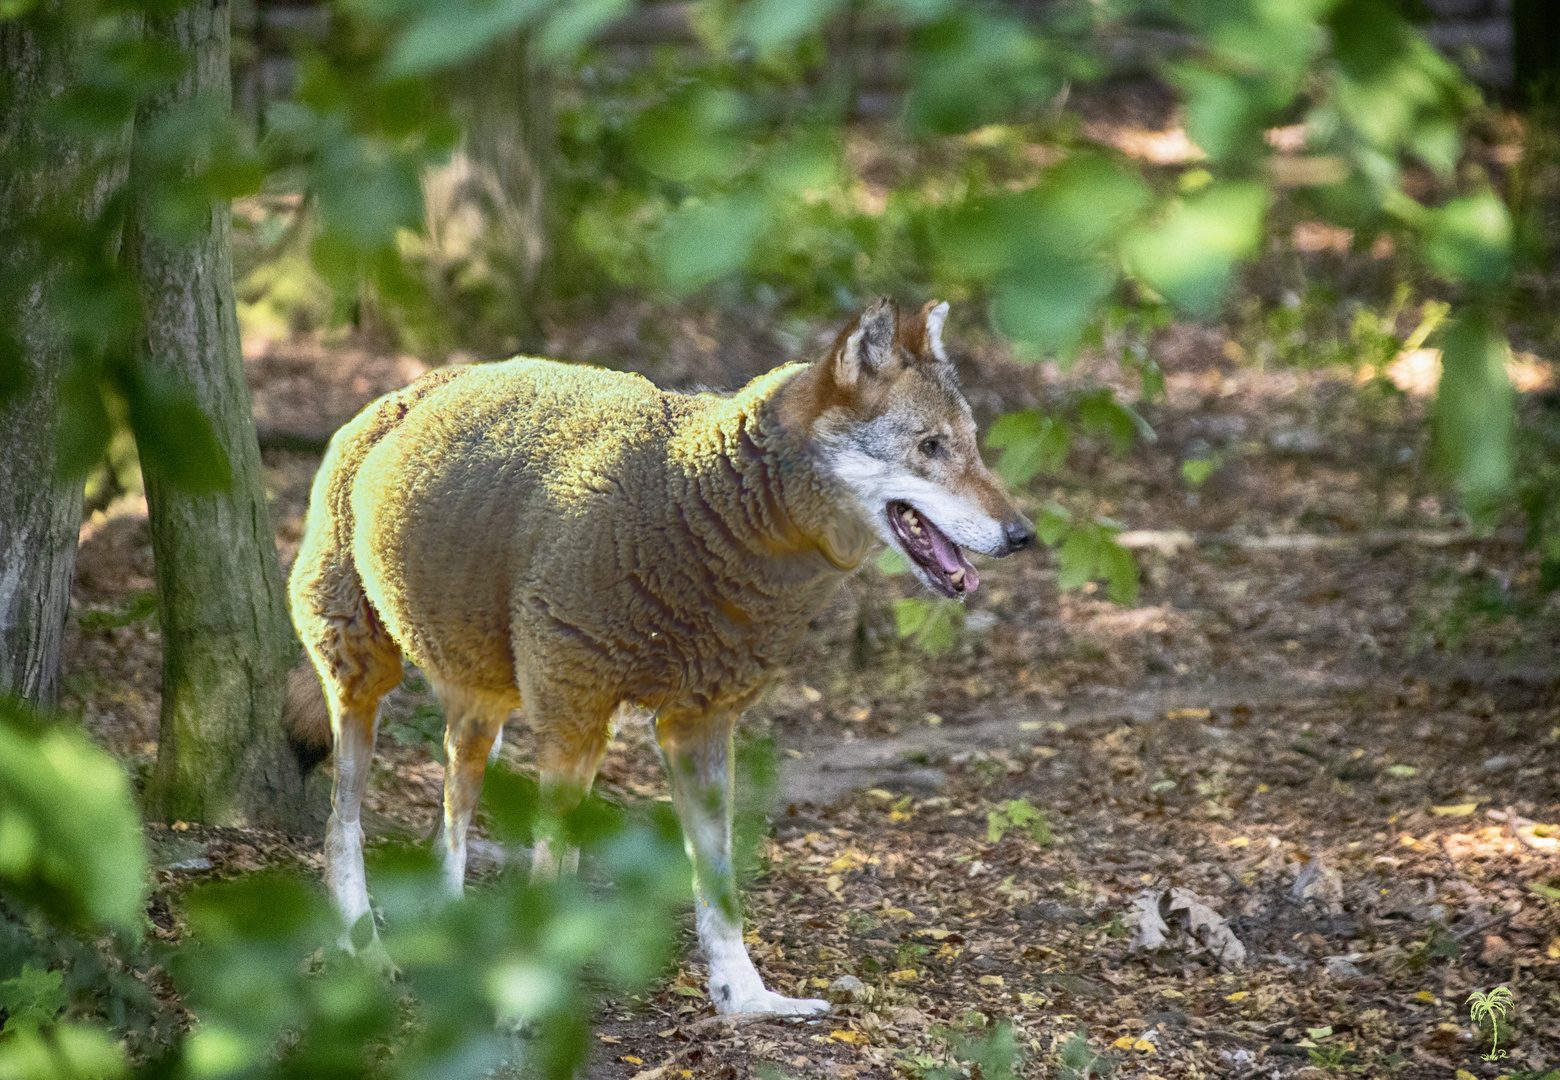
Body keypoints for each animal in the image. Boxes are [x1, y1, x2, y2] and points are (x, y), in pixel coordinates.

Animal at [283, 299, 1035, 1017]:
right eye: (930, 446)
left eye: (972, 446)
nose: (1023, 535)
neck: (702, 505)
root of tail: (402, 393)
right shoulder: (575, 714)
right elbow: (550, 863)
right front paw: (528, 1001)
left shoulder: (699, 724)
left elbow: (718, 885)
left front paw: (747, 999)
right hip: (365, 684)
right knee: (341, 827)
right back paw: (366, 951)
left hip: (483, 709)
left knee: (450, 819)